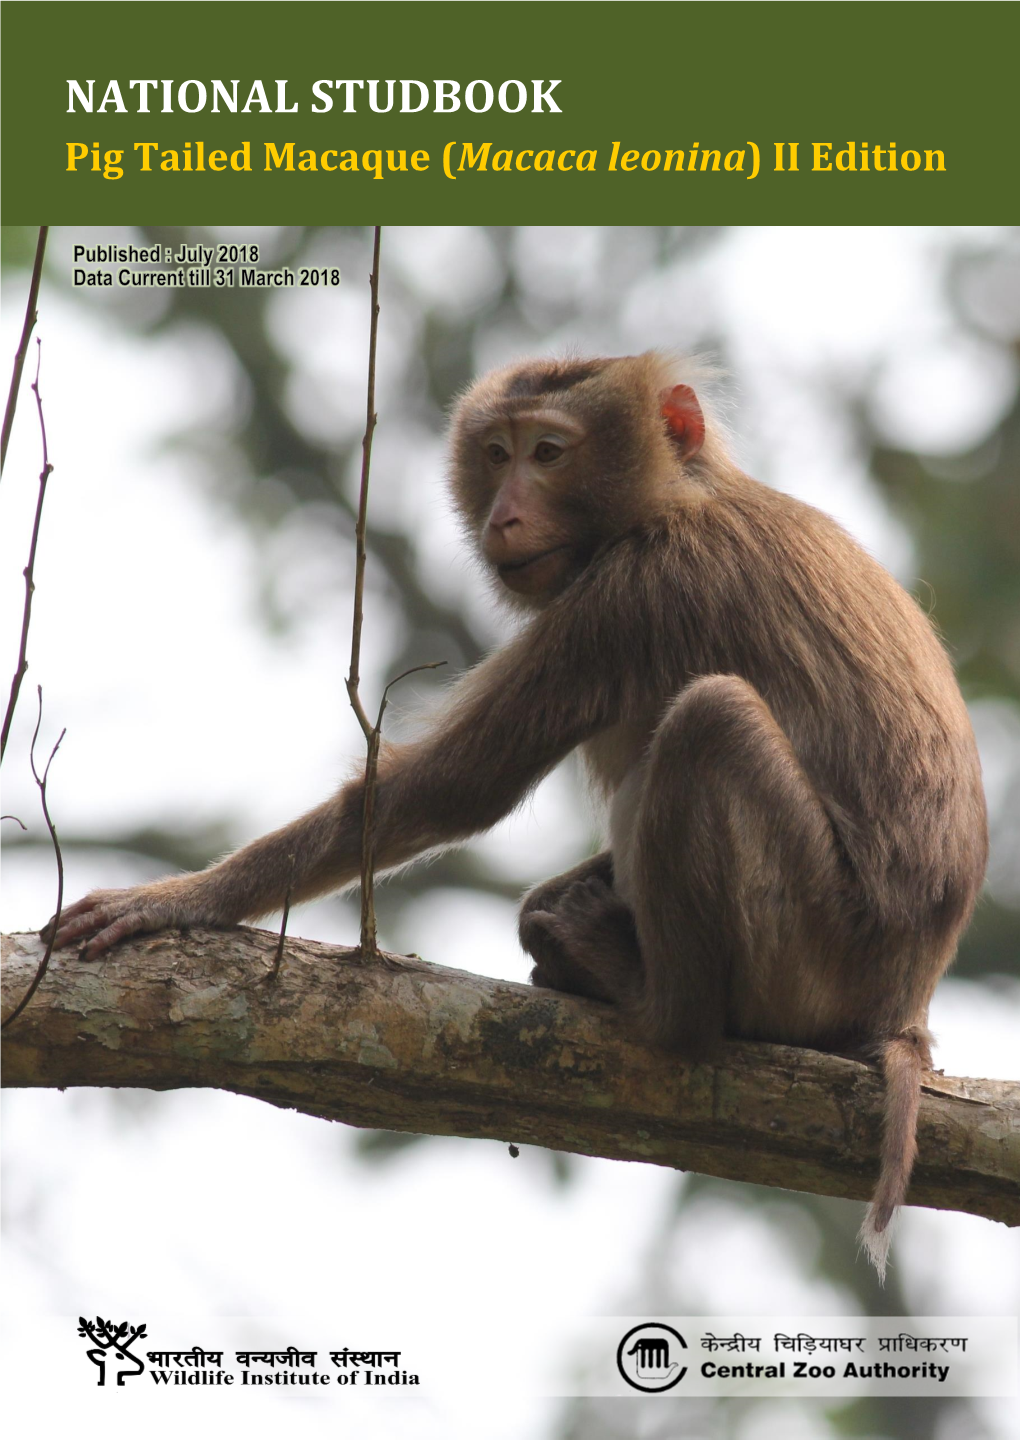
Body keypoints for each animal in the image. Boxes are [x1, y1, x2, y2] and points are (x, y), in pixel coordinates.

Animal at [41, 348, 986, 1274]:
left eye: (550, 453)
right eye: (497, 455)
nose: (504, 515)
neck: (679, 494)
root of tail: (905, 1008)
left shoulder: (631, 591)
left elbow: (452, 787)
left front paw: (178, 900)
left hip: (819, 950)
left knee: (708, 719)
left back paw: (655, 1003)